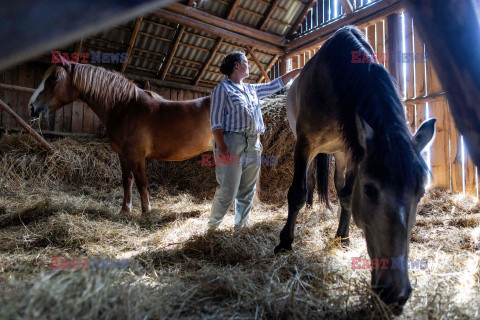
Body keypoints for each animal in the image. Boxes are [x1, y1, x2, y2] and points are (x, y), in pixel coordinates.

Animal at [28, 60, 212, 215]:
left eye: (55, 77)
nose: (32, 107)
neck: (126, 108)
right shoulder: (123, 155)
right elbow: (127, 181)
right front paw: (125, 210)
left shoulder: (137, 156)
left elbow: (142, 182)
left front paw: (146, 212)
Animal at [274, 25, 436, 316]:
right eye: (370, 190)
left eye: (421, 193)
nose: (396, 294)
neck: (333, 81)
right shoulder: (304, 144)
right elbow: (296, 193)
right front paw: (285, 242)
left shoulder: (351, 152)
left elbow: (347, 195)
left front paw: (343, 237)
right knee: (308, 183)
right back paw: (309, 206)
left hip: (339, 153)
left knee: (337, 187)